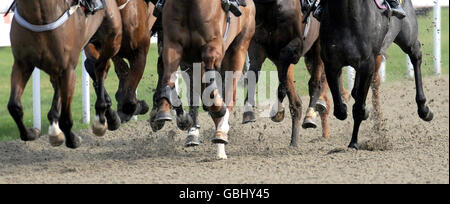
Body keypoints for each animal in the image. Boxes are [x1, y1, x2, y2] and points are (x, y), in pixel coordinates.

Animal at [7, 0, 123, 147]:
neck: (38, 16)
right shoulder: (22, 64)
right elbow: (14, 106)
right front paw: (31, 133)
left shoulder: (68, 70)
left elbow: (66, 118)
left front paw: (73, 139)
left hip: (112, 41)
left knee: (100, 68)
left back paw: (102, 117)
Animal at [150, 0, 255, 159]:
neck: (189, 4)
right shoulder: (173, 45)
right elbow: (168, 76)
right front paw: (164, 110)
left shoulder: (213, 45)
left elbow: (213, 95)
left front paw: (218, 110)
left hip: (238, 49)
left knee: (229, 96)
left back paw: (221, 134)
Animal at [318, 0, 434, 148]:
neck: (345, 17)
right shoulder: (331, 65)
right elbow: (340, 110)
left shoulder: (367, 65)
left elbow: (358, 109)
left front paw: (353, 142)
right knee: (355, 91)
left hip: (408, 38)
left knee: (416, 56)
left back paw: (424, 109)